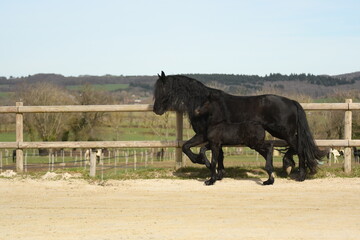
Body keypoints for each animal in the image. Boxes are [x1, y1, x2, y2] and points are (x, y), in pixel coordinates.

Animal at [153, 71, 324, 180]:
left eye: (163, 89)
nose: (156, 110)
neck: (204, 104)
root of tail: (292, 102)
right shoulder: (210, 137)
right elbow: (208, 152)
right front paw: (218, 172)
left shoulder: (202, 134)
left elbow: (187, 148)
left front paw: (203, 163)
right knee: (293, 147)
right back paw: (288, 165)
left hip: (284, 132)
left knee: (299, 148)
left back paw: (300, 174)